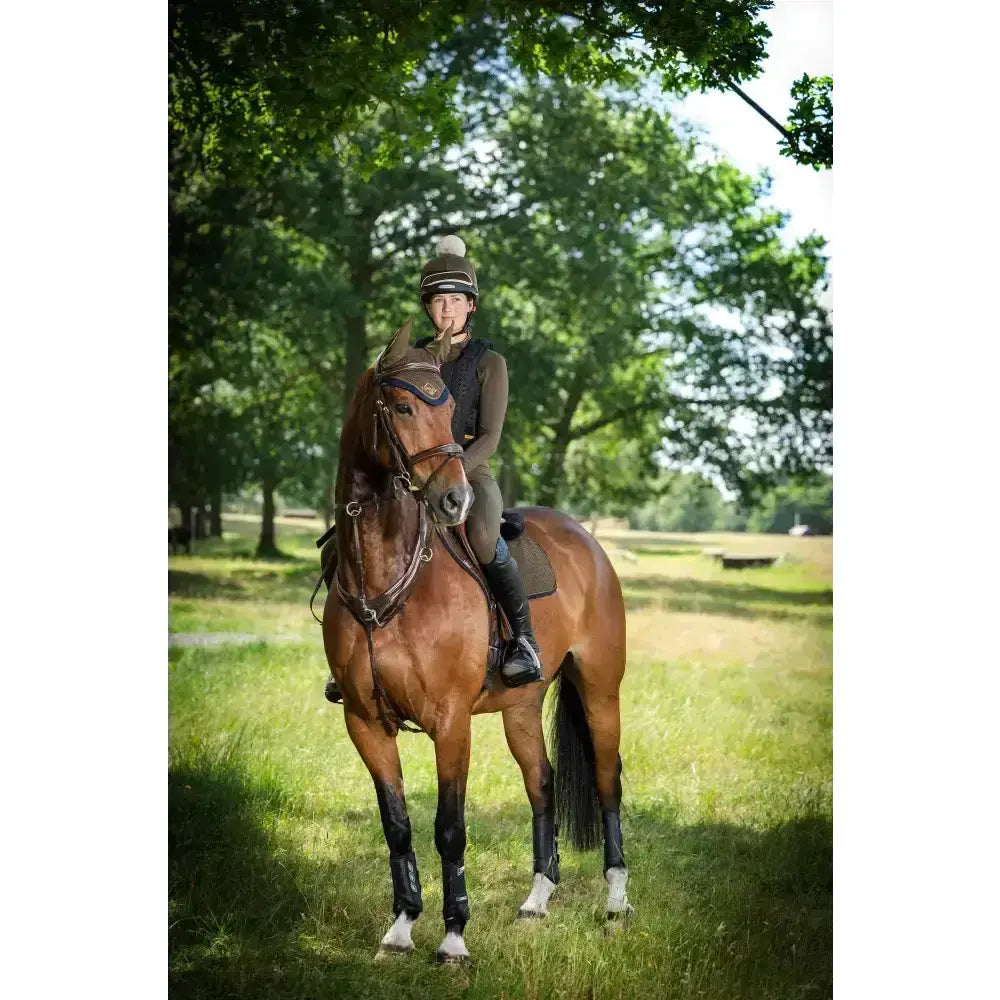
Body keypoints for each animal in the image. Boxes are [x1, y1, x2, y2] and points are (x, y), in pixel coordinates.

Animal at [321, 319, 631, 963]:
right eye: (404, 406)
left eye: (446, 411)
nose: (454, 499)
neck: (386, 574)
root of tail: (586, 540)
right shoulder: (363, 722)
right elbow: (398, 826)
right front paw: (401, 927)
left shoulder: (450, 721)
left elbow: (449, 827)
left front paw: (454, 937)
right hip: (521, 705)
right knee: (542, 783)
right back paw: (537, 899)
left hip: (600, 689)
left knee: (607, 779)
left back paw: (616, 902)